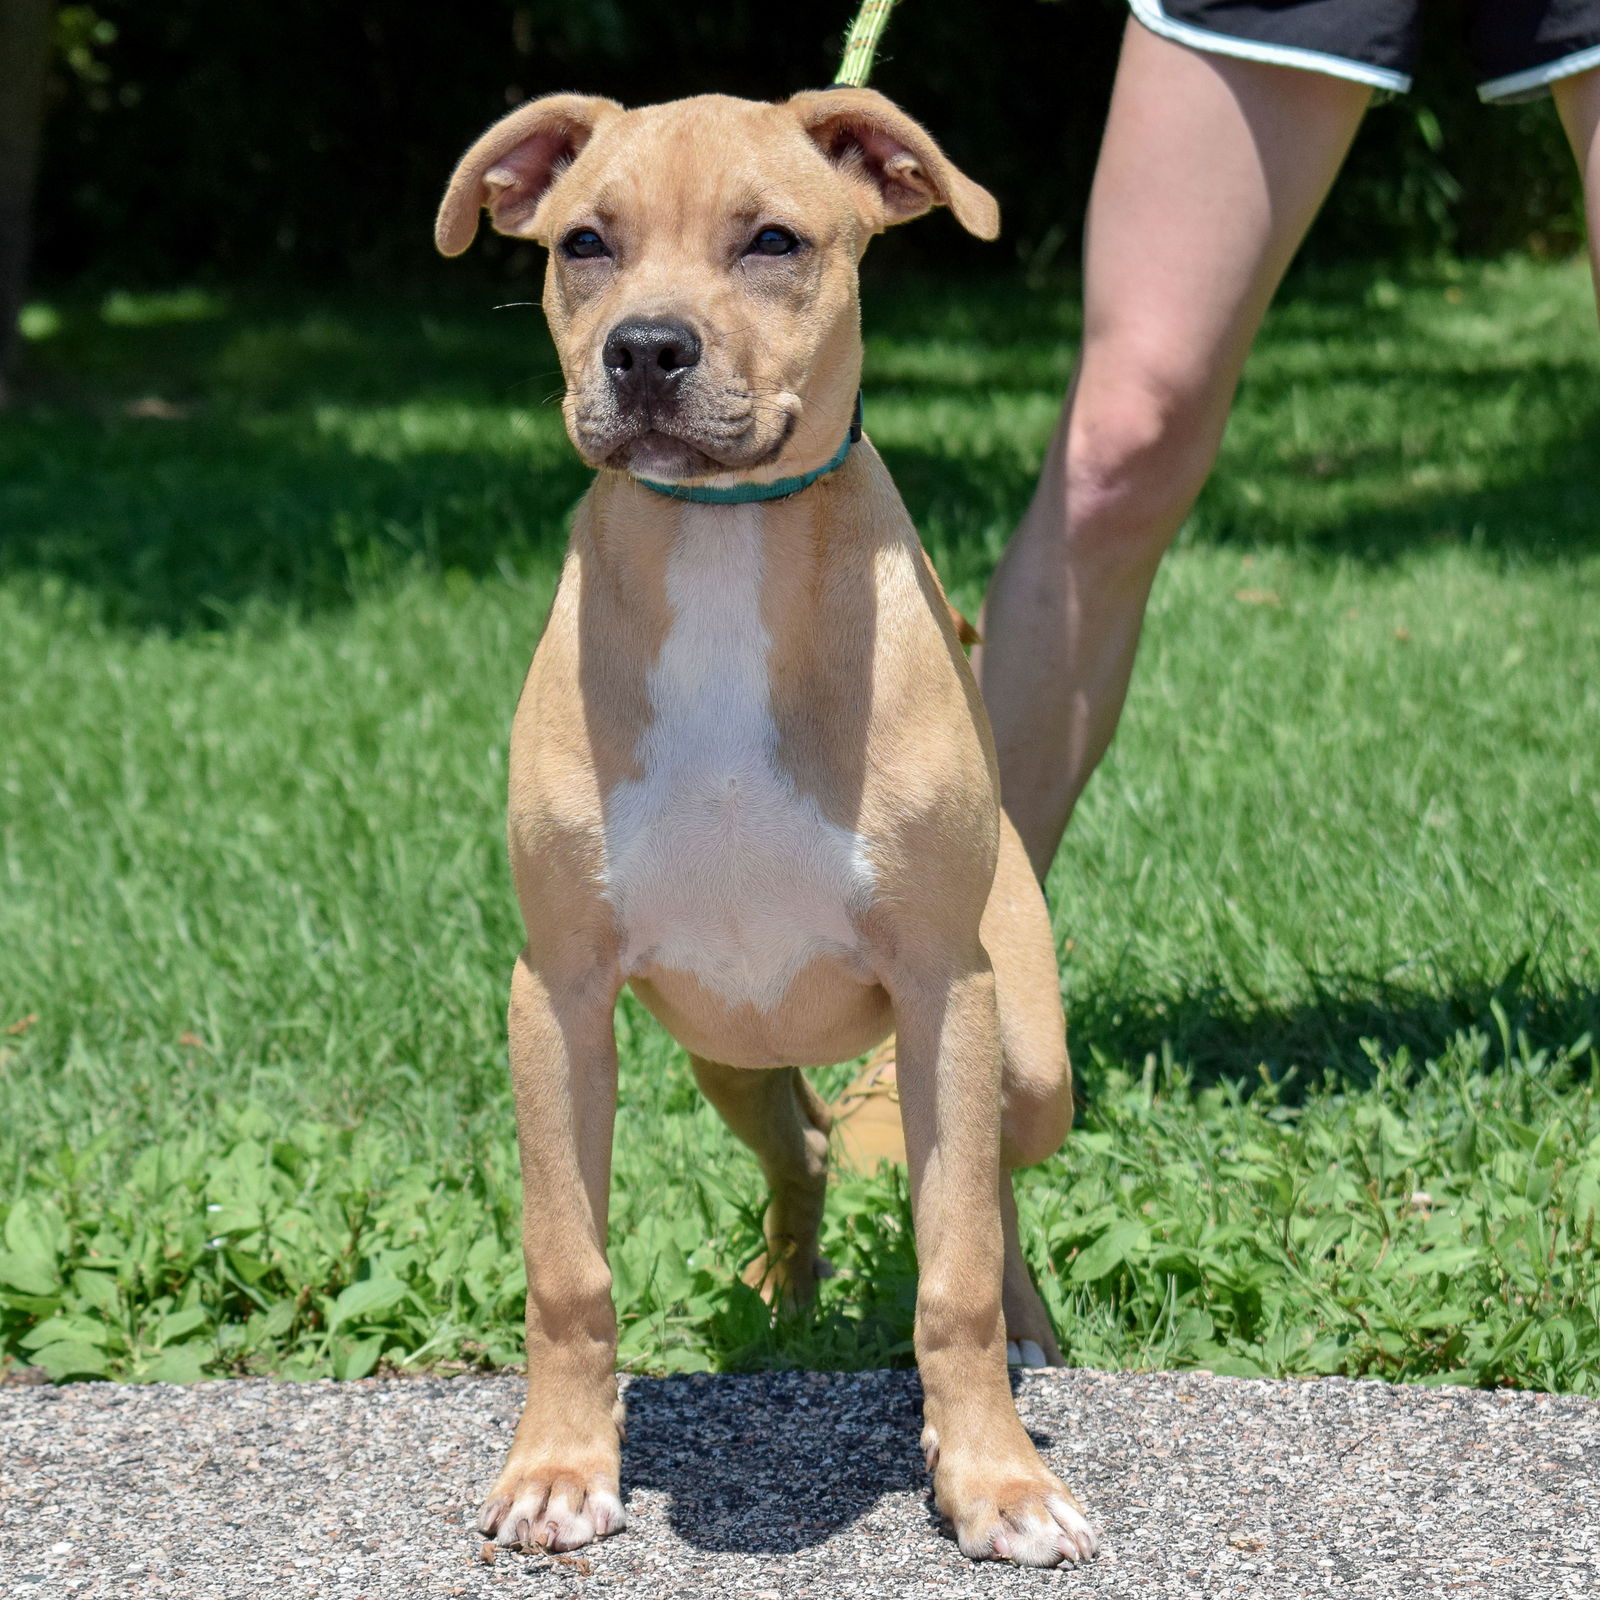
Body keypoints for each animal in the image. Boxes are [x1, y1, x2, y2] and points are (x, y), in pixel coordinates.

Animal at [438, 87, 1100, 1561]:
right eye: (583, 243)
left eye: (773, 241)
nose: (644, 350)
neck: (722, 541)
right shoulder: (557, 990)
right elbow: (567, 1263)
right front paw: (558, 1466)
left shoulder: (943, 984)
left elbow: (952, 1265)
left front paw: (997, 1480)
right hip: (721, 1045)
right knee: (800, 1148)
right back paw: (781, 1291)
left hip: (1022, 1054)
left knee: (991, 1186)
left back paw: (1025, 1339)